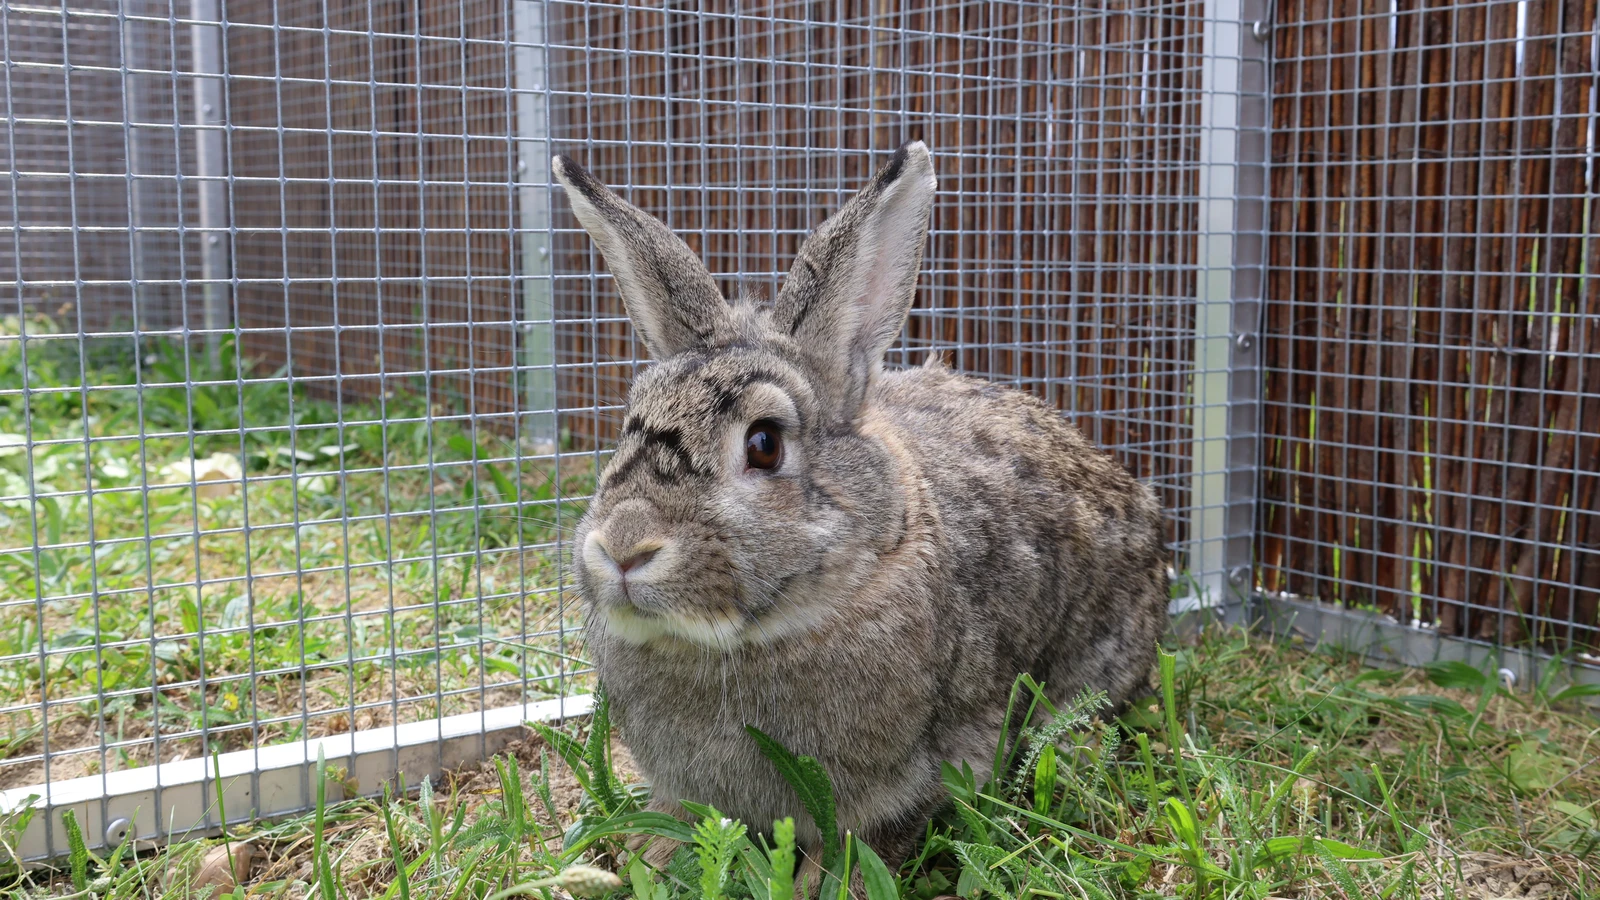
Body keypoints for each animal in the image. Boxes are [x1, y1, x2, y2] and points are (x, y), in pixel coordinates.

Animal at [553, 141, 1169, 880]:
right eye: (627, 426)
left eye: (764, 444)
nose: (623, 546)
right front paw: (652, 855)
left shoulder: (918, 770)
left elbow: (862, 844)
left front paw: (821, 885)